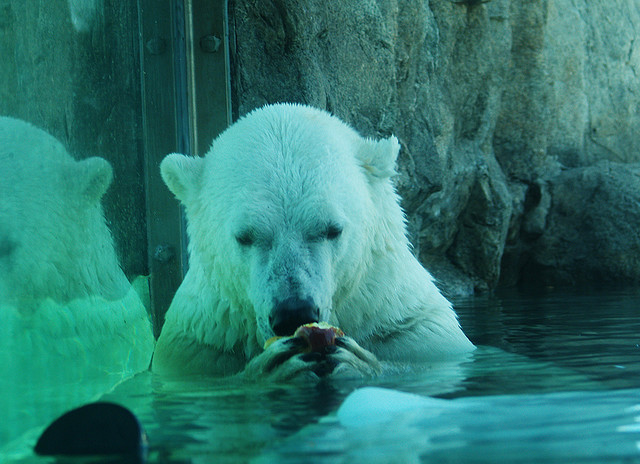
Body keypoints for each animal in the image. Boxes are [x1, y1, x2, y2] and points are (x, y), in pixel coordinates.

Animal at [154, 103, 476, 378]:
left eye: (333, 229)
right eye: (244, 237)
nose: (293, 313)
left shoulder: (410, 327)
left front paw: (357, 361)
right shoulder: (198, 346)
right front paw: (271, 366)